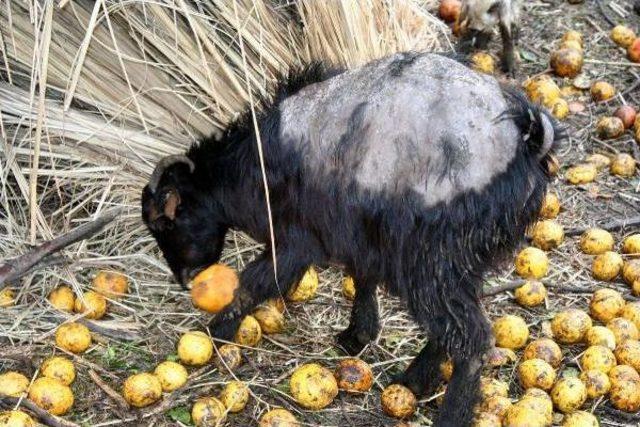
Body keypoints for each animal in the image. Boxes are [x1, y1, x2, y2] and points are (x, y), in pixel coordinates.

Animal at [141, 51, 560, 426]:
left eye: (166, 222)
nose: (185, 279)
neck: (253, 164)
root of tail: (524, 140)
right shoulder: (358, 231)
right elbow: (361, 277)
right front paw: (358, 335)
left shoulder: (297, 238)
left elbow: (253, 284)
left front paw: (214, 334)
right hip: (459, 259)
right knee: (455, 327)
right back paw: (415, 380)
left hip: (432, 256)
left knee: (470, 339)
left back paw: (448, 414)